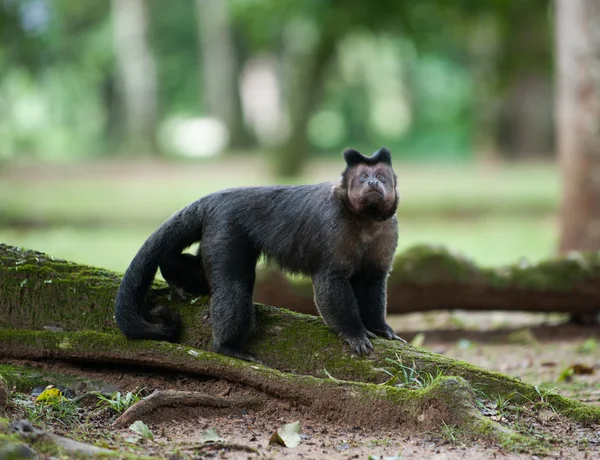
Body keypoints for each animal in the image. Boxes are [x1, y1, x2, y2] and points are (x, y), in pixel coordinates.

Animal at [113, 147, 404, 362]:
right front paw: (353, 332)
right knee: (234, 286)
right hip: (225, 228)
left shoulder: (389, 229)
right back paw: (227, 347)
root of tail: (216, 198)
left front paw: (380, 327)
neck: (364, 219)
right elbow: (330, 280)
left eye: (380, 175)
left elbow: (374, 279)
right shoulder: (333, 224)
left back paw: (172, 273)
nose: (373, 183)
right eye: (363, 177)